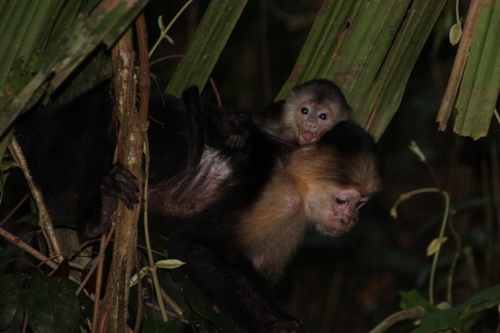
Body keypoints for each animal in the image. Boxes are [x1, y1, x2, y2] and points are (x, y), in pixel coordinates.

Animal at [13, 79, 378, 330]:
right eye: (343, 200)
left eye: (361, 204)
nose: (349, 221)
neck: (295, 182)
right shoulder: (268, 192)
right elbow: (194, 245)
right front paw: (279, 325)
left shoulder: (292, 221)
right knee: (104, 110)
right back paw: (98, 216)